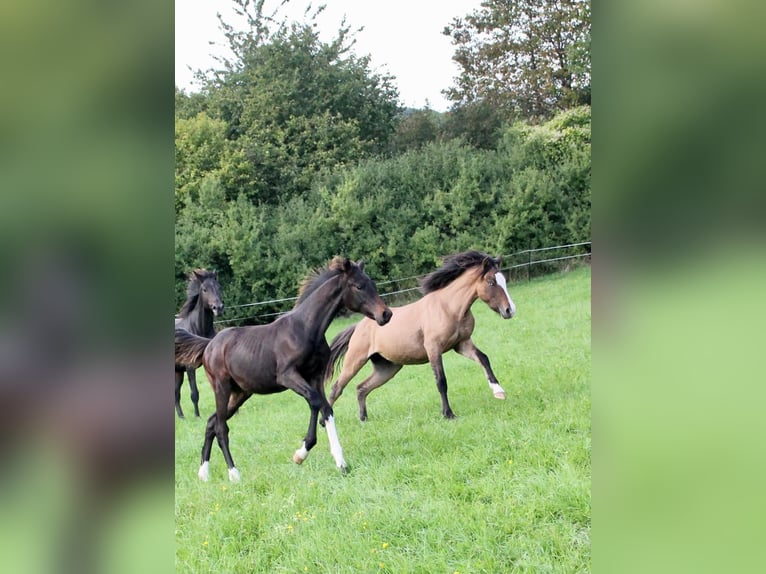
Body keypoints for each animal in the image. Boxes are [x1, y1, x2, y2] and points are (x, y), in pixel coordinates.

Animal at [174, 269, 223, 418]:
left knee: (176, 394)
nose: (218, 308)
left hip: (178, 372)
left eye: (219, 287)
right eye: (204, 289)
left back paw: (182, 417)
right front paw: (197, 416)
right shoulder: (190, 368)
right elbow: (194, 393)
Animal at [324, 250, 516, 421]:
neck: (449, 308)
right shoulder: (433, 348)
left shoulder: (461, 344)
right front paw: (448, 414)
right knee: (336, 388)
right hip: (354, 361)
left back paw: (364, 418)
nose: (510, 310)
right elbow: (441, 381)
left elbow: (484, 359)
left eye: (503, 280)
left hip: (387, 368)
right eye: (491, 282)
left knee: (361, 388)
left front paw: (499, 392)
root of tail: (358, 326)